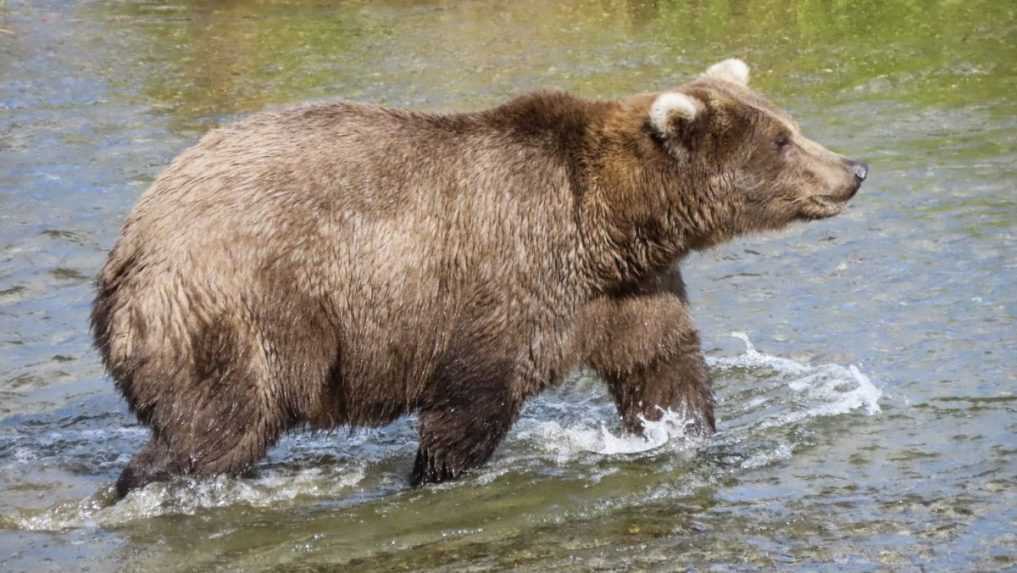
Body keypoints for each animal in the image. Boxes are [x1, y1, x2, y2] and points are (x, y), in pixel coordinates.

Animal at [93, 59, 866, 498]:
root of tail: (129, 242)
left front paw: (685, 434)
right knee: (215, 426)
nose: (853, 169)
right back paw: (147, 484)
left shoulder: (627, 291)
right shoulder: (506, 279)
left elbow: (662, 368)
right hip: (233, 309)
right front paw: (431, 476)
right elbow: (470, 403)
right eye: (782, 140)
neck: (610, 225)